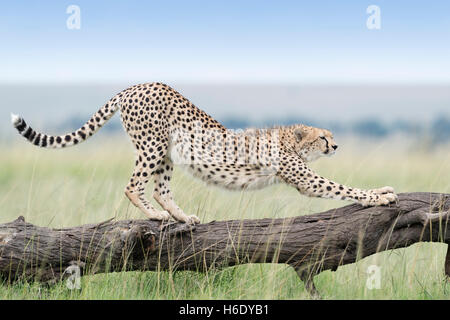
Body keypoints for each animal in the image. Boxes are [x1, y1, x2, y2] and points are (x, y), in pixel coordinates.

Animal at [10, 82, 398, 225]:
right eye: (322, 137)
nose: (336, 145)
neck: (290, 139)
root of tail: (138, 84)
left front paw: (382, 190)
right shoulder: (305, 179)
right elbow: (342, 187)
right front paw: (379, 197)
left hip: (167, 151)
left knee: (160, 188)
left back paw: (182, 217)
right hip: (152, 145)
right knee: (133, 186)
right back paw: (156, 216)